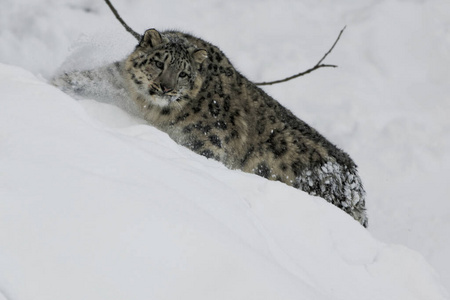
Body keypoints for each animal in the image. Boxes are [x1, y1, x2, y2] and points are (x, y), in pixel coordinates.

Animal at [53, 29, 370, 227]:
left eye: (183, 73)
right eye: (158, 63)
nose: (165, 87)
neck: (150, 108)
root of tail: (358, 191)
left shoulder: (207, 144)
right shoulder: (118, 78)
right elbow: (89, 77)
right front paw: (54, 83)